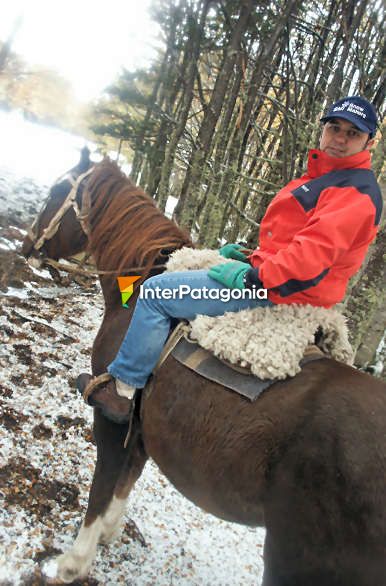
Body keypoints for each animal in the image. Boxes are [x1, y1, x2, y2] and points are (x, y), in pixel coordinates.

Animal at [21, 157, 386, 580]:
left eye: (55, 192)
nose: (28, 245)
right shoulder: (144, 426)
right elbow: (126, 481)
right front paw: (111, 531)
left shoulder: (112, 420)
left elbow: (103, 486)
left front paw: (73, 562)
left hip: (296, 559)